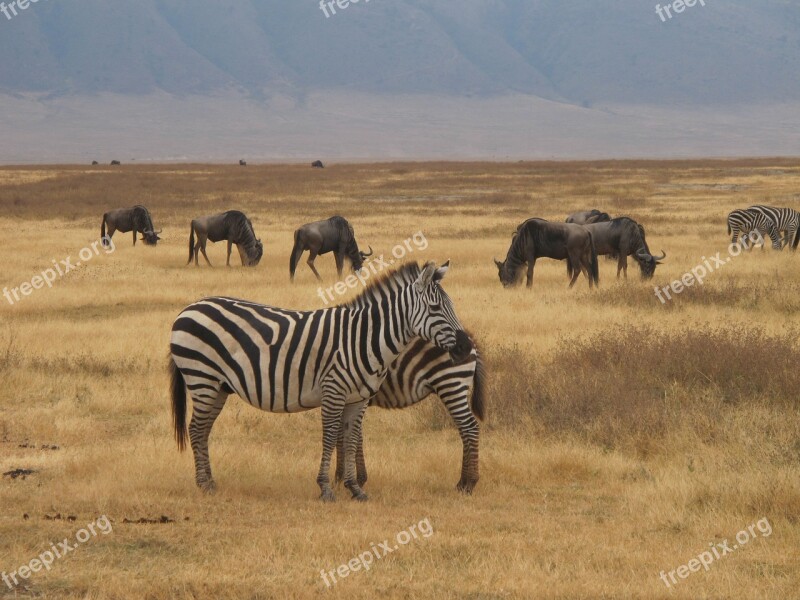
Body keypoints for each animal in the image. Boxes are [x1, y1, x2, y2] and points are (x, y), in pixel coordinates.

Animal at [169, 262, 468, 502]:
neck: (363, 338)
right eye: (435, 307)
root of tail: (189, 308)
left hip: (218, 386)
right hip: (202, 378)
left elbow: (350, 439)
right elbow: (330, 437)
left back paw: (210, 482)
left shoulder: (358, 399)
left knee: (203, 430)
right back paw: (203, 484)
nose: (465, 347)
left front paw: (355, 488)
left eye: (452, 306)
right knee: (196, 429)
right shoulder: (333, 391)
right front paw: (325, 488)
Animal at [334, 332, 484, 492]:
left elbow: (345, 436)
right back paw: (462, 483)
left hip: (450, 383)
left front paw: (342, 478)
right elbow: (351, 436)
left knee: (470, 427)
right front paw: (353, 478)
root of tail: (469, 338)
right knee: (464, 430)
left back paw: (470, 483)